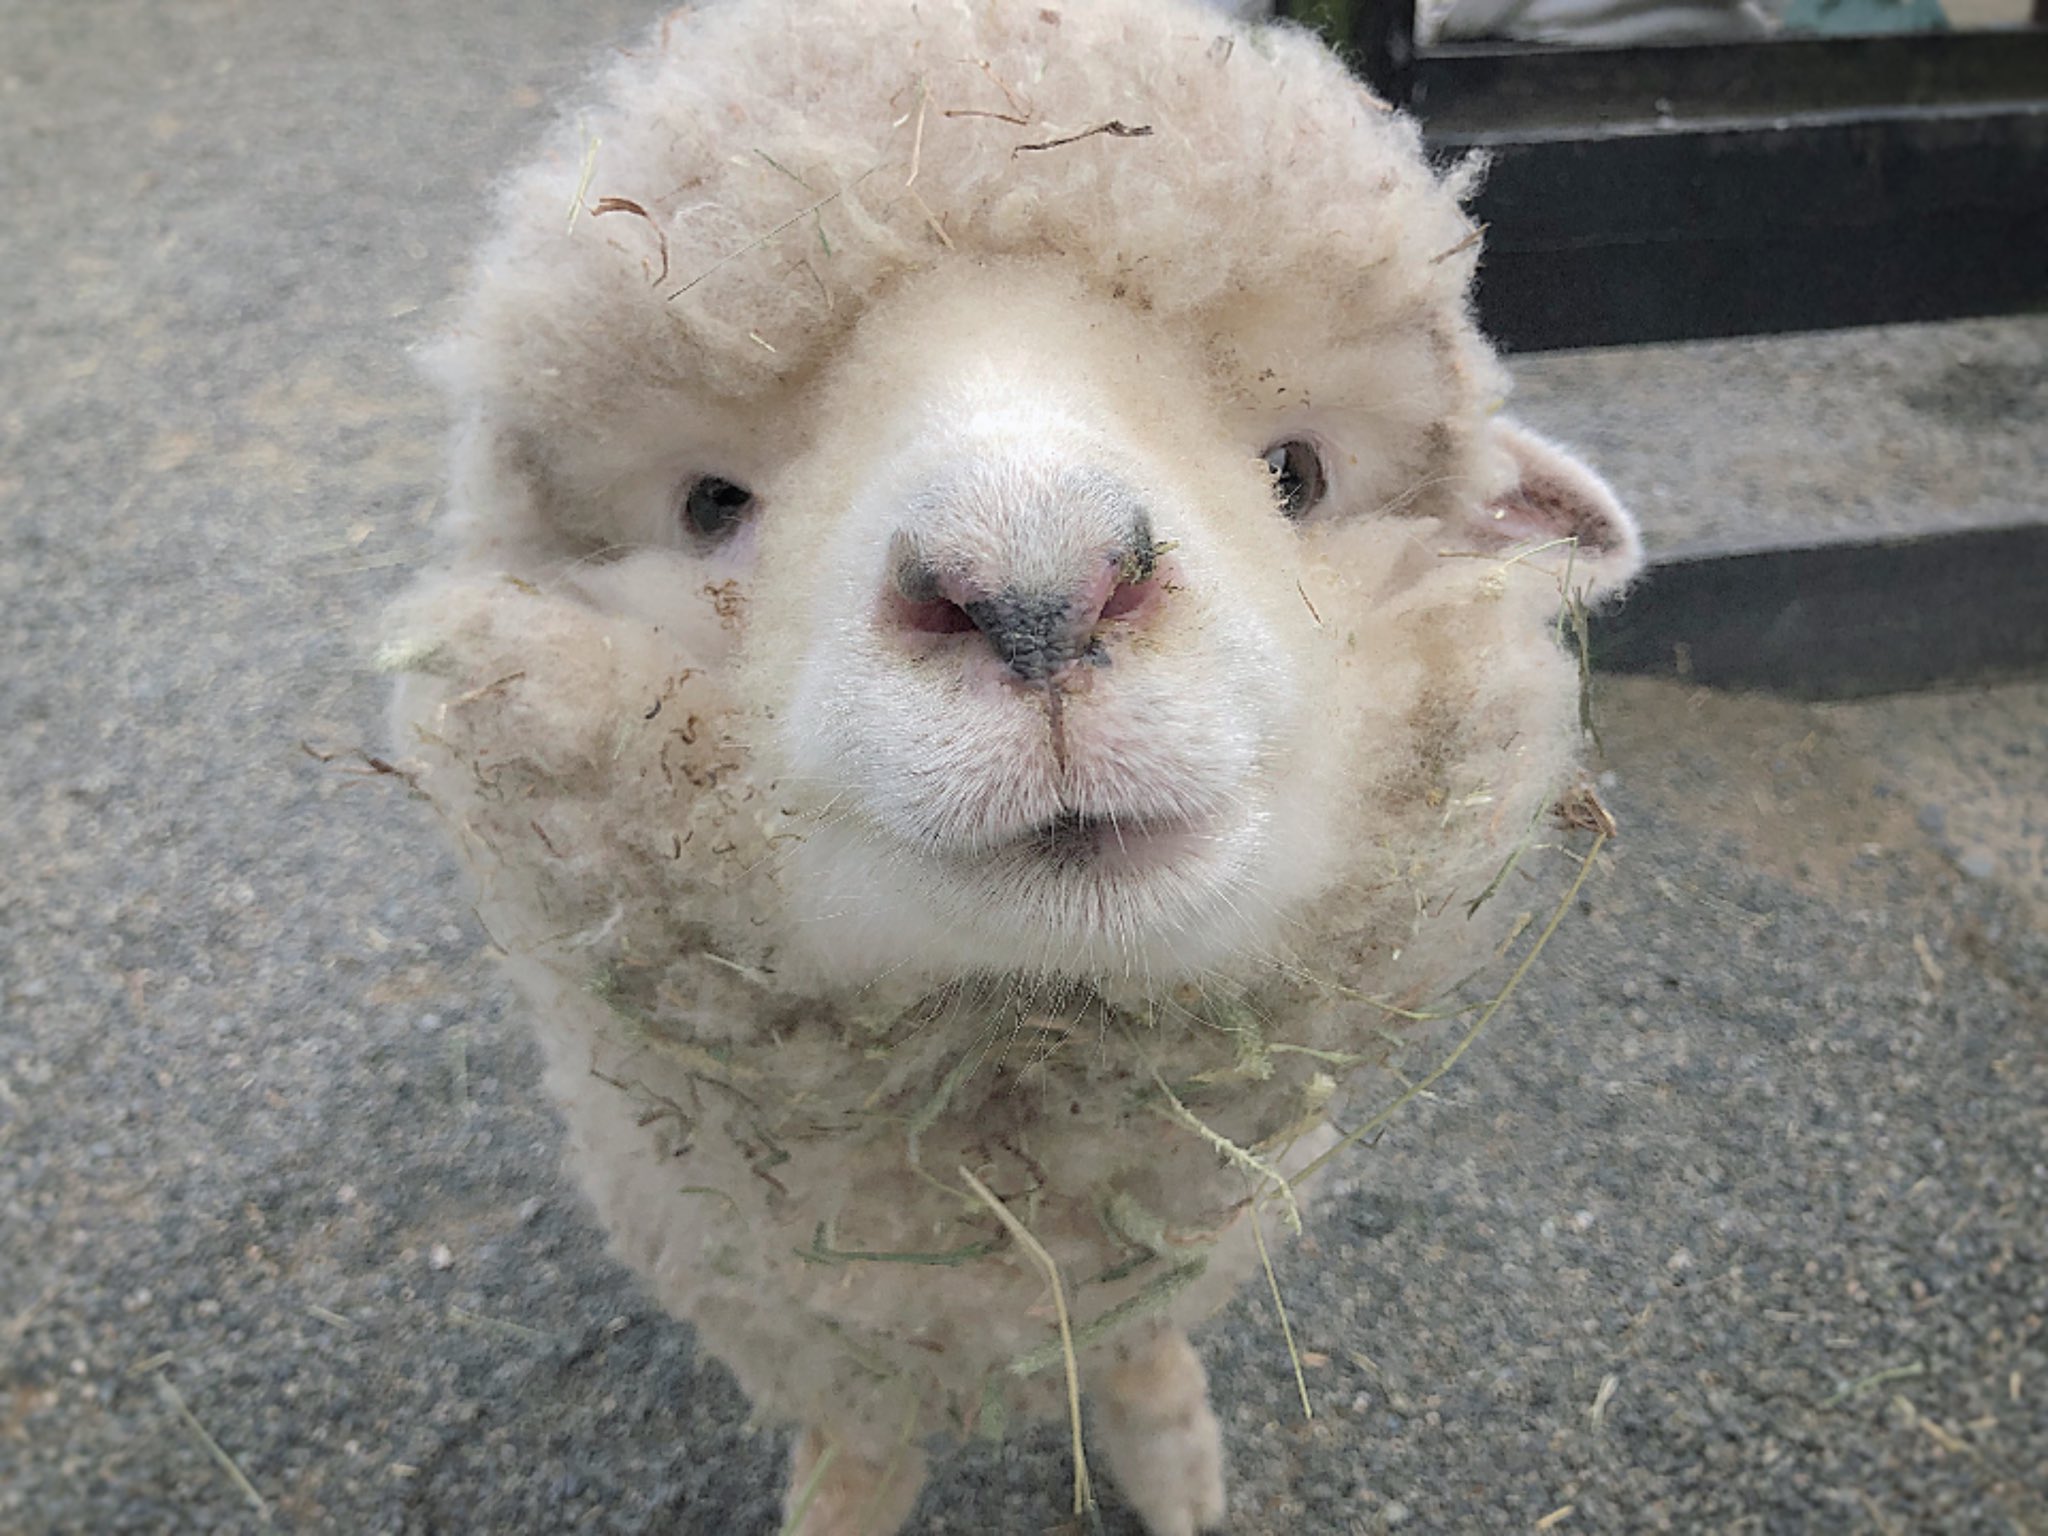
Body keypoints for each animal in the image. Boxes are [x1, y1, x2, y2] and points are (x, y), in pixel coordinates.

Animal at [380, 6, 1630, 1531]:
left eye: (1297, 472)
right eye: (710, 504)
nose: (1037, 594)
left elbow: (1143, 1353)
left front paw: (1174, 1464)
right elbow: (858, 1452)